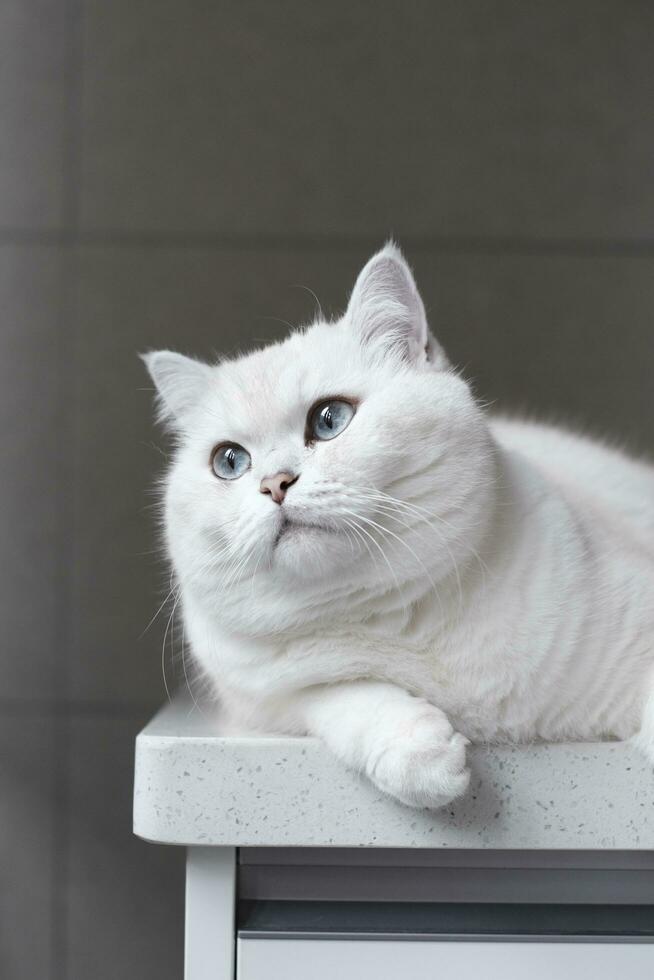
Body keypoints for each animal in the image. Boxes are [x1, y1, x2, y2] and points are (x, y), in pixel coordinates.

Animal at [144, 241, 654, 808]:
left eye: (329, 419)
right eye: (230, 461)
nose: (275, 484)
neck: (394, 621)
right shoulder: (269, 700)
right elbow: (342, 695)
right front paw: (424, 757)